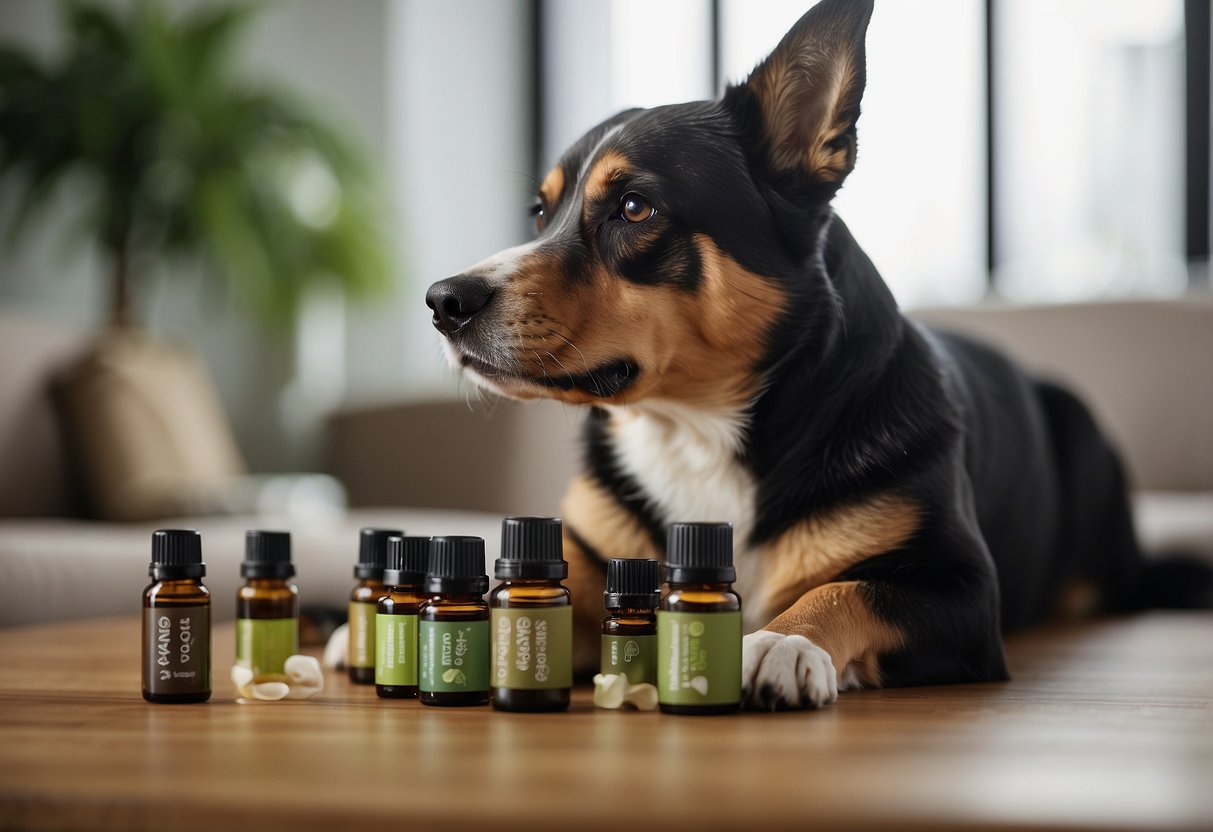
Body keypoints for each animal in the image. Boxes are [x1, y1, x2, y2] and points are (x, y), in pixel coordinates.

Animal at [422, 0, 1208, 713]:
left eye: (635, 207)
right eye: (540, 212)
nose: (443, 301)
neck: (697, 429)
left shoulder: (960, 589)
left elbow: (847, 588)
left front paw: (783, 640)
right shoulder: (590, 551)